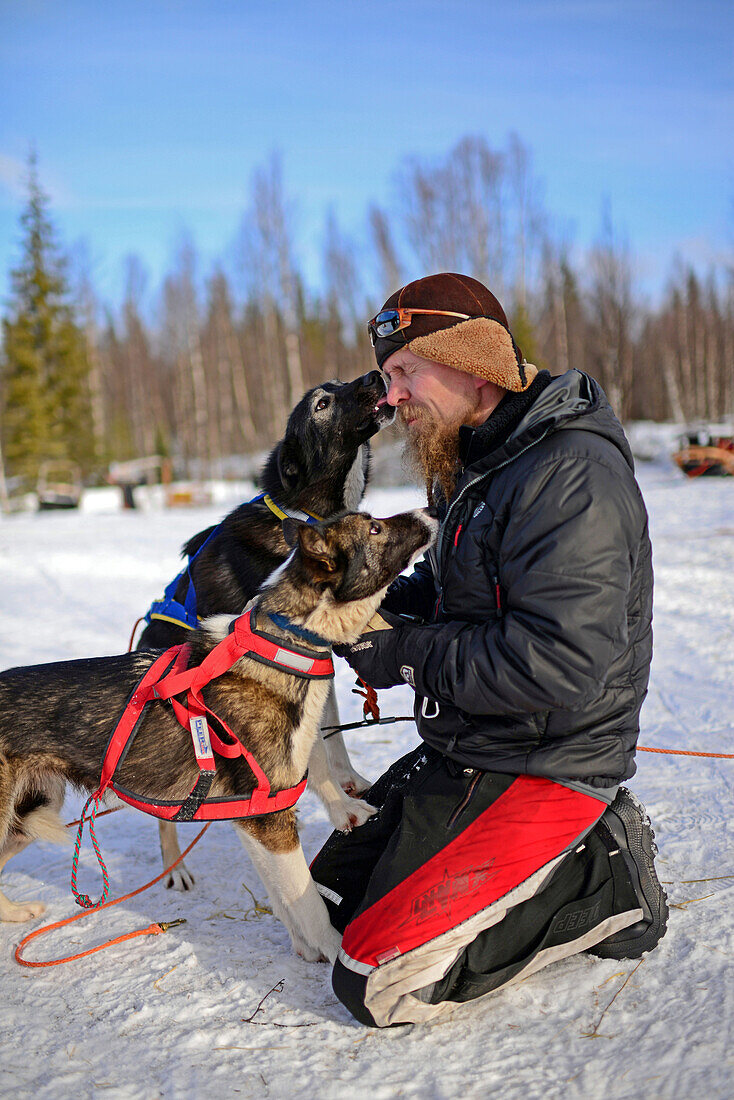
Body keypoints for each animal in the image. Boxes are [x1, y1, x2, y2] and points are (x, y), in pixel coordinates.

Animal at [0, 510, 435, 959]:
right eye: (374, 528)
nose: (427, 512)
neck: (280, 648)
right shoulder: (270, 822)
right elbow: (309, 902)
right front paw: (333, 950)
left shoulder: (254, 815)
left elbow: (284, 897)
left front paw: (304, 945)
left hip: (28, 814)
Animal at [136, 374, 396, 888]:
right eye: (322, 403)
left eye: (339, 381)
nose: (375, 376)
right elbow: (314, 754)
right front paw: (341, 811)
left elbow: (331, 737)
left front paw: (350, 782)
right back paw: (174, 866)